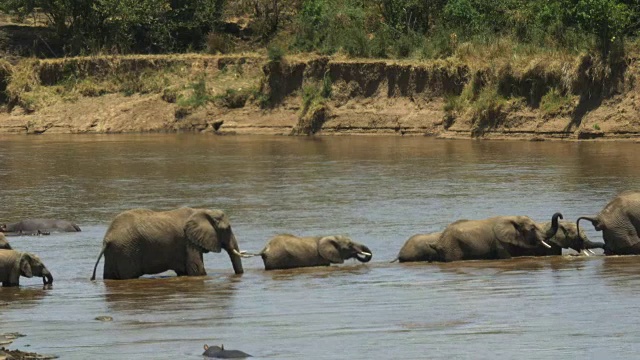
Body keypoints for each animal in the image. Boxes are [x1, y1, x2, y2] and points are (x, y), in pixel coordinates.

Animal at [91, 208, 246, 282]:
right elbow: (197, 270)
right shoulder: (188, 242)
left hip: (115, 253)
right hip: (127, 251)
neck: (202, 210)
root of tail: (107, 238)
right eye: (227, 228)